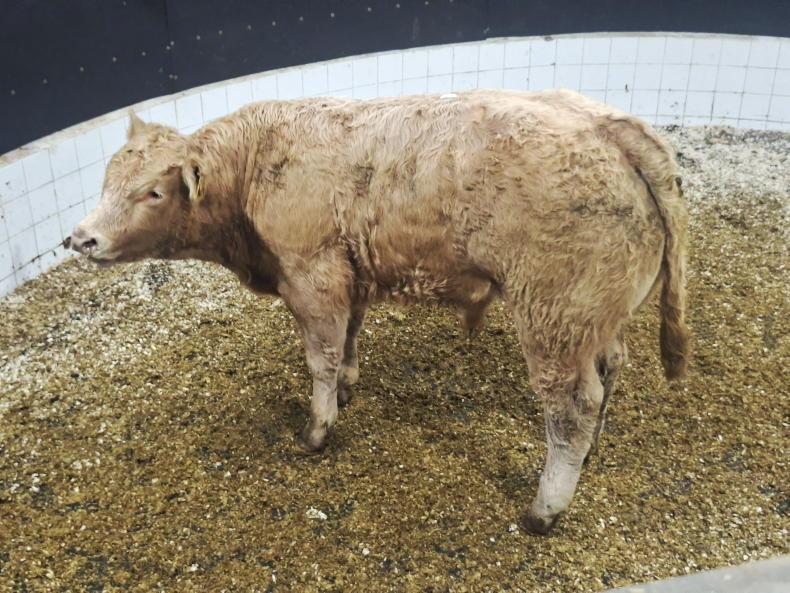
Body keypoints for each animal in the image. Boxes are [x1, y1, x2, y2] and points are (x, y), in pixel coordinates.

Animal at [67, 89, 689, 534]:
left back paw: (546, 507)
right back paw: (593, 451)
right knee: (611, 368)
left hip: (554, 316)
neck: (256, 167)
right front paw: (346, 388)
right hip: (595, 317)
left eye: (153, 191)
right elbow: (348, 339)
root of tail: (610, 126)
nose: (82, 238)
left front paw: (317, 429)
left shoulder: (313, 276)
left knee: (571, 408)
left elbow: (319, 355)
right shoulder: (351, 276)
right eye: (106, 179)